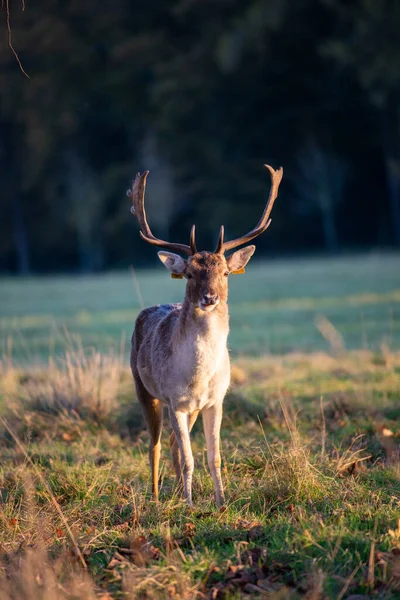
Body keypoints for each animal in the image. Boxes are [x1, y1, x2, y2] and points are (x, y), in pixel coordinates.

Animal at [127, 164, 282, 506]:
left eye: (225, 272)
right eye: (189, 273)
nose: (209, 297)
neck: (197, 376)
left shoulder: (215, 400)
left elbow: (215, 457)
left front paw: (220, 501)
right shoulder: (174, 399)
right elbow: (188, 459)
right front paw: (189, 504)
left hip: (190, 409)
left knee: (172, 444)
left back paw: (175, 491)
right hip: (144, 388)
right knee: (155, 445)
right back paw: (157, 497)